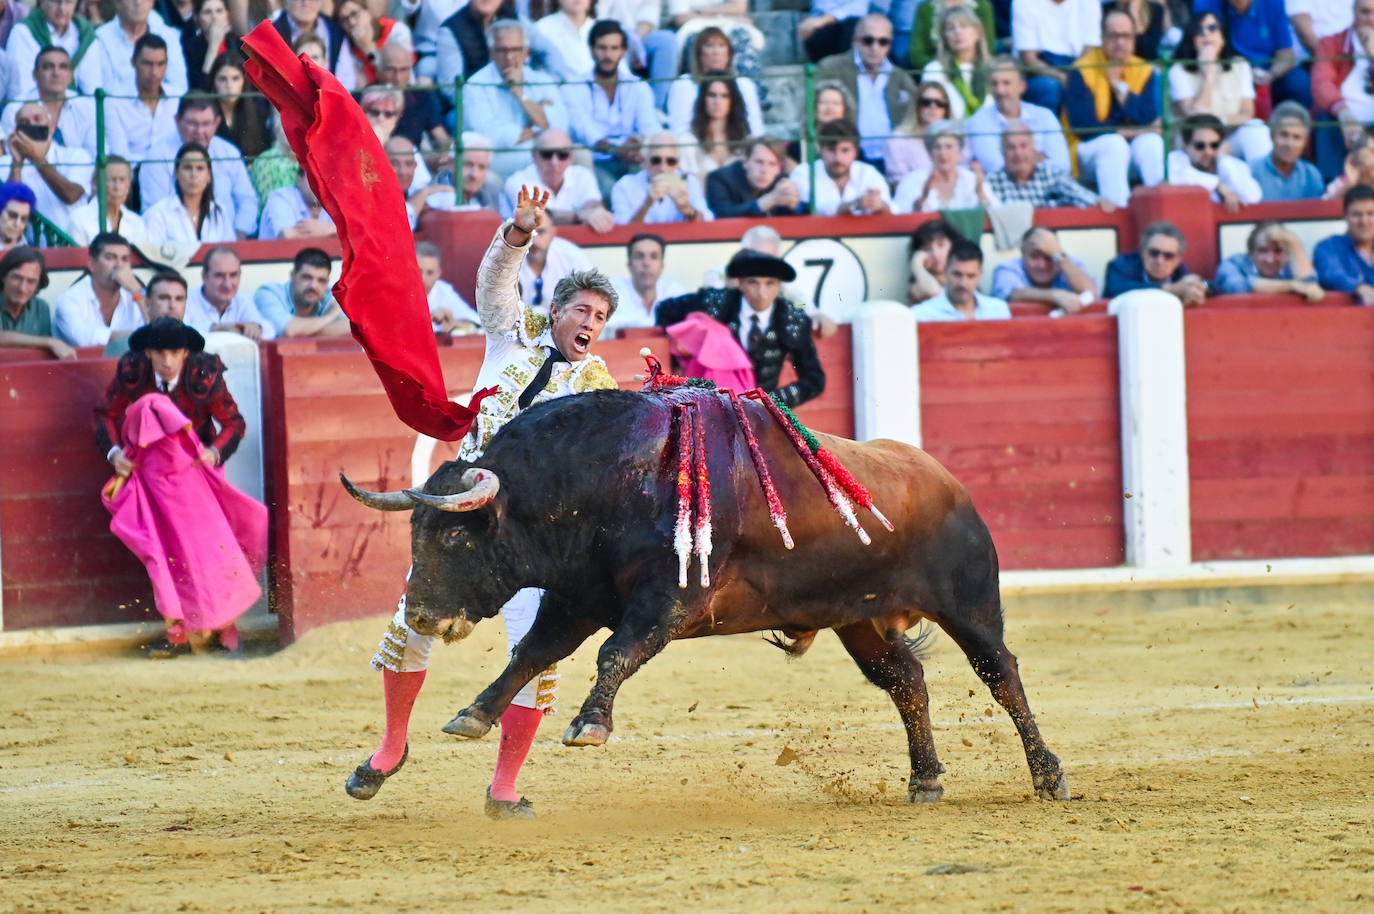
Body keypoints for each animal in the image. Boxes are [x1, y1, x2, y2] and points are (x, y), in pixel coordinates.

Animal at [346, 387, 1071, 802]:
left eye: (454, 537)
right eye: (416, 534)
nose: (421, 615)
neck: (606, 480)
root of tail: (949, 482)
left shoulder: (668, 600)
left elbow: (615, 653)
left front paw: (589, 725)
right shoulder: (576, 598)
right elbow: (530, 655)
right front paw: (473, 713)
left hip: (969, 604)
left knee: (1001, 674)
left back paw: (1048, 776)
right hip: (857, 620)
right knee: (906, 681)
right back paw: (925, 780)